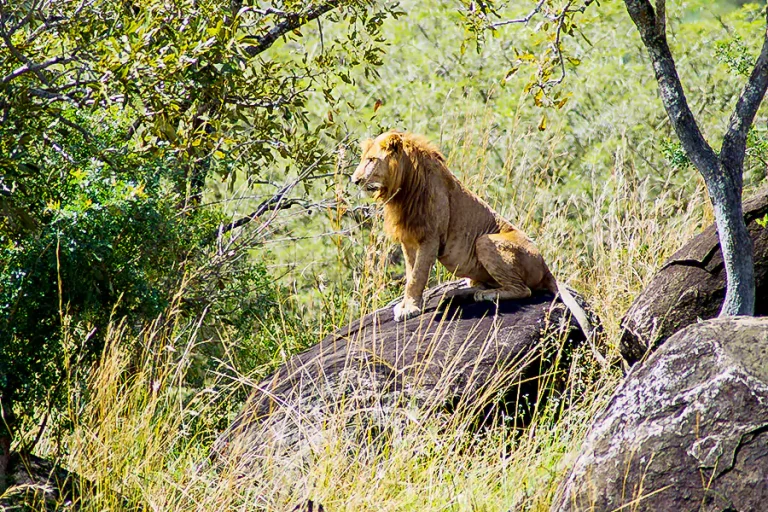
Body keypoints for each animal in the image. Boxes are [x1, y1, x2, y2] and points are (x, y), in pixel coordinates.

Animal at [352, 130, 592, 336]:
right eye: (364, 158)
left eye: (371, 160)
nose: (355, 180)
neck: (403, 188)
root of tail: (546, 267)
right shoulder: (409, 239)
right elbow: (411, 274)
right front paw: (407, 304)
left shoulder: (430, 237)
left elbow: (417, 276)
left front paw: (409, 308)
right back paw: (463, 290)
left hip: (485, 241)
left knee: (523, 290)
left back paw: (484, 295)